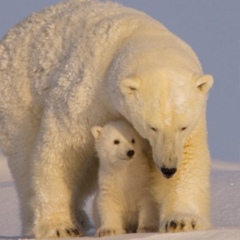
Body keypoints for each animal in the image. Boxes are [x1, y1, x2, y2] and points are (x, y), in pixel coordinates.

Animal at [0, 0, 214, 237]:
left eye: (183, 127)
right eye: (152, 127)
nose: (167, 168)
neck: (136, 34)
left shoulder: (194, 117)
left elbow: (189, 156)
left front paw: (183, 221)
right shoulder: (86, 94)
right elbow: (62, 149)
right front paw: (59, 227)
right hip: (19, 97)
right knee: (24, 157)